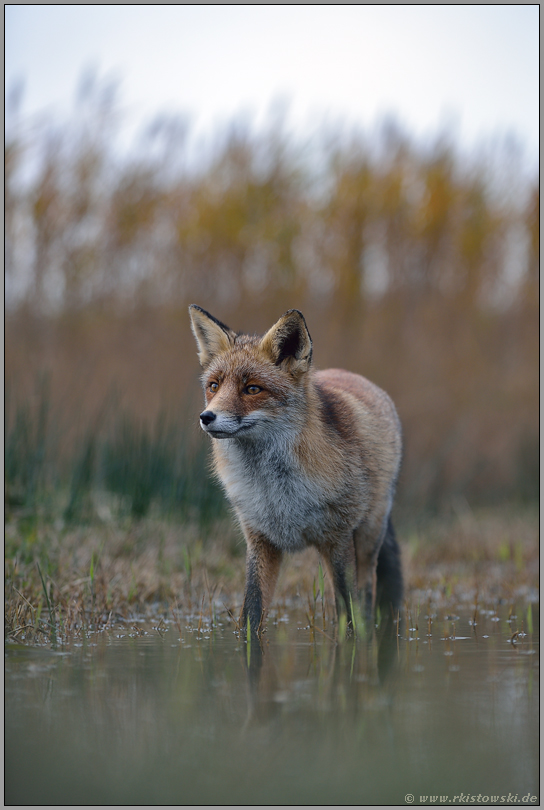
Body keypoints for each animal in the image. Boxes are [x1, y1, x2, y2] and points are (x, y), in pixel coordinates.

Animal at [189, 304, 402, 632]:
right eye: (214, 386)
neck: (278, 490)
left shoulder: (338, 539)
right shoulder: (260, 539)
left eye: (252, 389)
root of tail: (351, 374)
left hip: (368, 536)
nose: (207, 417)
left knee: (366, 594)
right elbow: (251, 613)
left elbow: (349, 614)